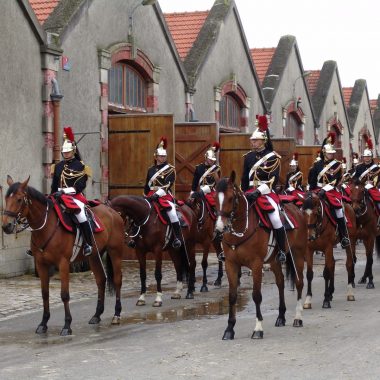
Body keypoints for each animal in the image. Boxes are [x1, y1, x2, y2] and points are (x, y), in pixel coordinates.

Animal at [2, 175, 124, 336]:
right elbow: (45, 293)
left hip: (115, 251)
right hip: (94, 256)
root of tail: (112, 211)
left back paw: (116, 314)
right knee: (101, 280)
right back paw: (97, 315)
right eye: (6, 198)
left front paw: (67, 325)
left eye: (19, 199)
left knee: (117, 280)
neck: (46, 226)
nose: (6, 226)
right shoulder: (41, 264)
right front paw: (43, 323)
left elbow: (64, 294)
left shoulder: (63, 263)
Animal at [214, 171, 306, 340]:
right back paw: (281, 317)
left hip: (298, 255)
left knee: (299, 282)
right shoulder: (230, 264)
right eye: (215, 198)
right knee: (280, 282)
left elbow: (256, 295)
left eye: (230, 198)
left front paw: (258, 328)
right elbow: (232, 295)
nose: (219, 228)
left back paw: (298, 317)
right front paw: (229, 329)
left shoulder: (256, 264)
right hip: (274, 260)